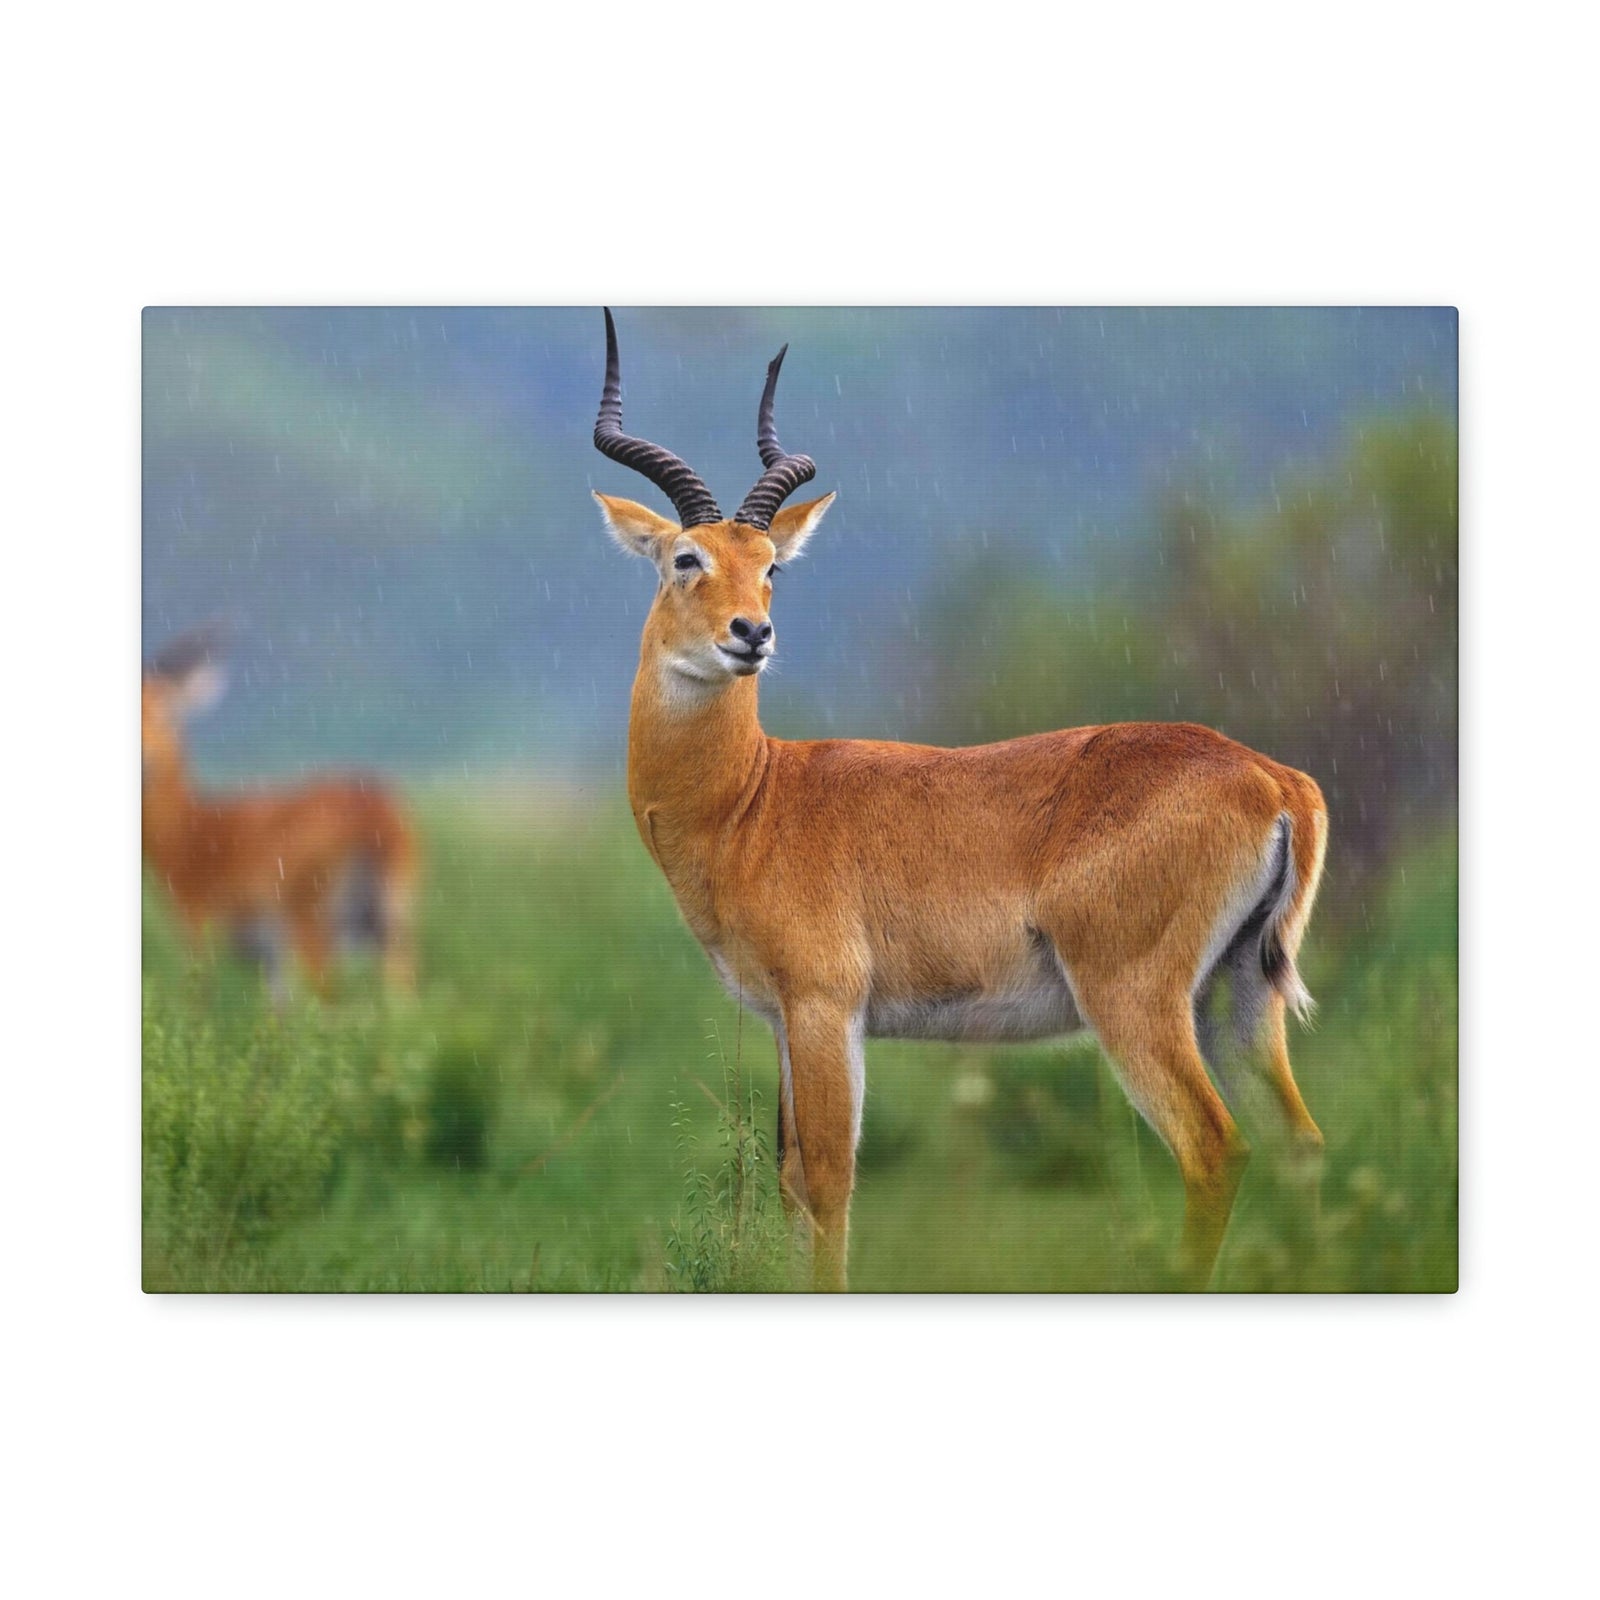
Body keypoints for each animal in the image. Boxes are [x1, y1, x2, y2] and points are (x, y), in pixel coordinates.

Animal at [141, 628, 418, 996]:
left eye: (166, 709)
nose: (145, 758)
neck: (190, 829)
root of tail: (374, 811)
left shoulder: (197, 924)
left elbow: (199, 996)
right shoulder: (270, 959)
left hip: (312, 924)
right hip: (390, 922)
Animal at [591, 310, 1327, 1290]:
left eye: (772, 566)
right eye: (686, 556)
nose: (752, 633)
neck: (752, 799)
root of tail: (1273, 779)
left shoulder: (825, 1007)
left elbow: (828, 1181)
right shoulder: (785, 1018)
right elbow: (790, 1180)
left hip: (1136, 999)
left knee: (1216, 1148)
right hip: (1239, 995)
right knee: (1300, 1145)